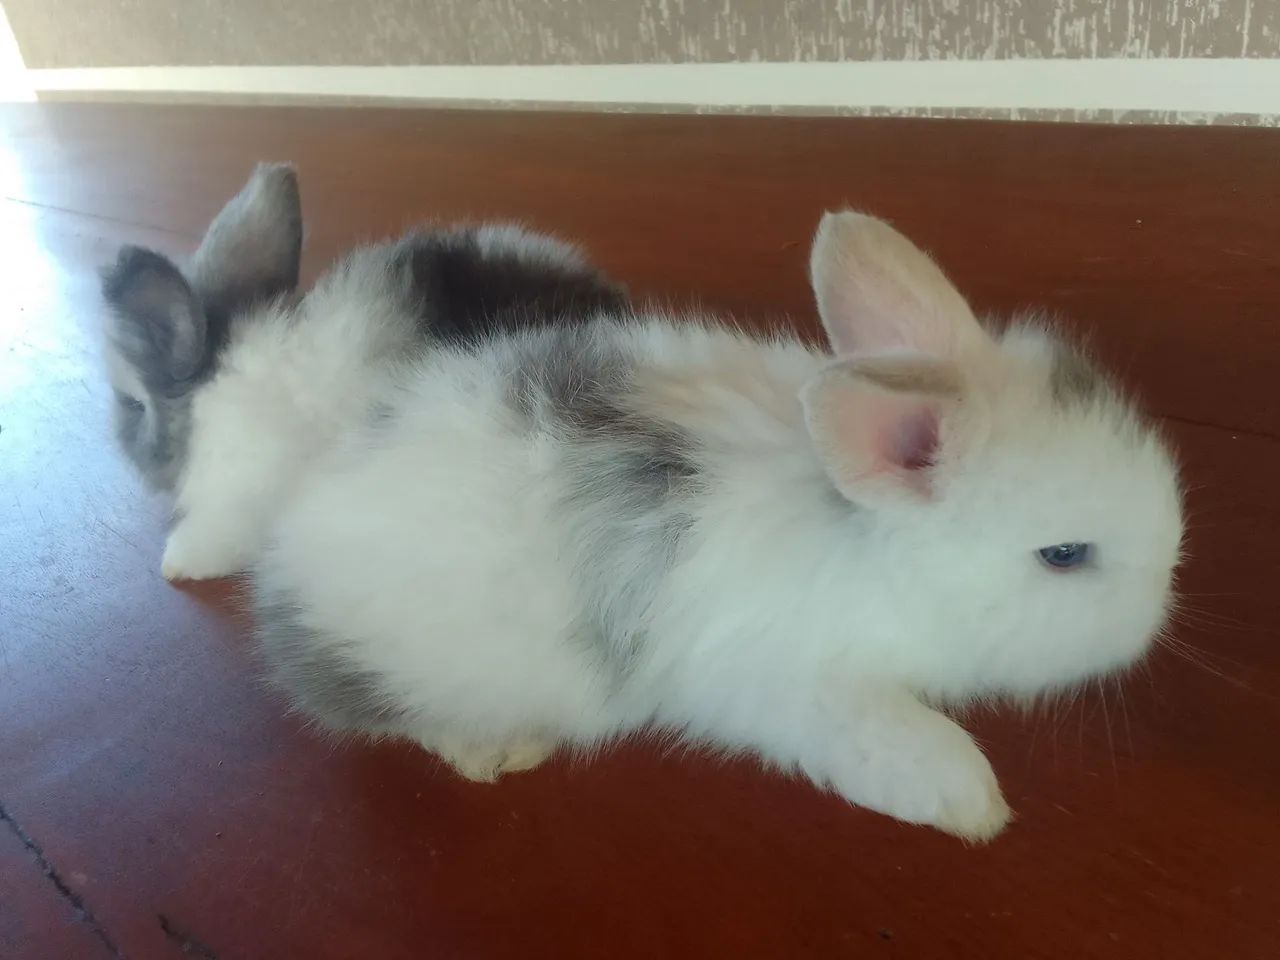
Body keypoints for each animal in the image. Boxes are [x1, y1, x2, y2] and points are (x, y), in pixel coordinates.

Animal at [251, 209, 1185, 842]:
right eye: (1064, 555)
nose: (1160, 606)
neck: (857, 531)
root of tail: (290, 536)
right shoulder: (794, 683)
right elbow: (895, 738)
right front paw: (972, 803)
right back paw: (495, 752)